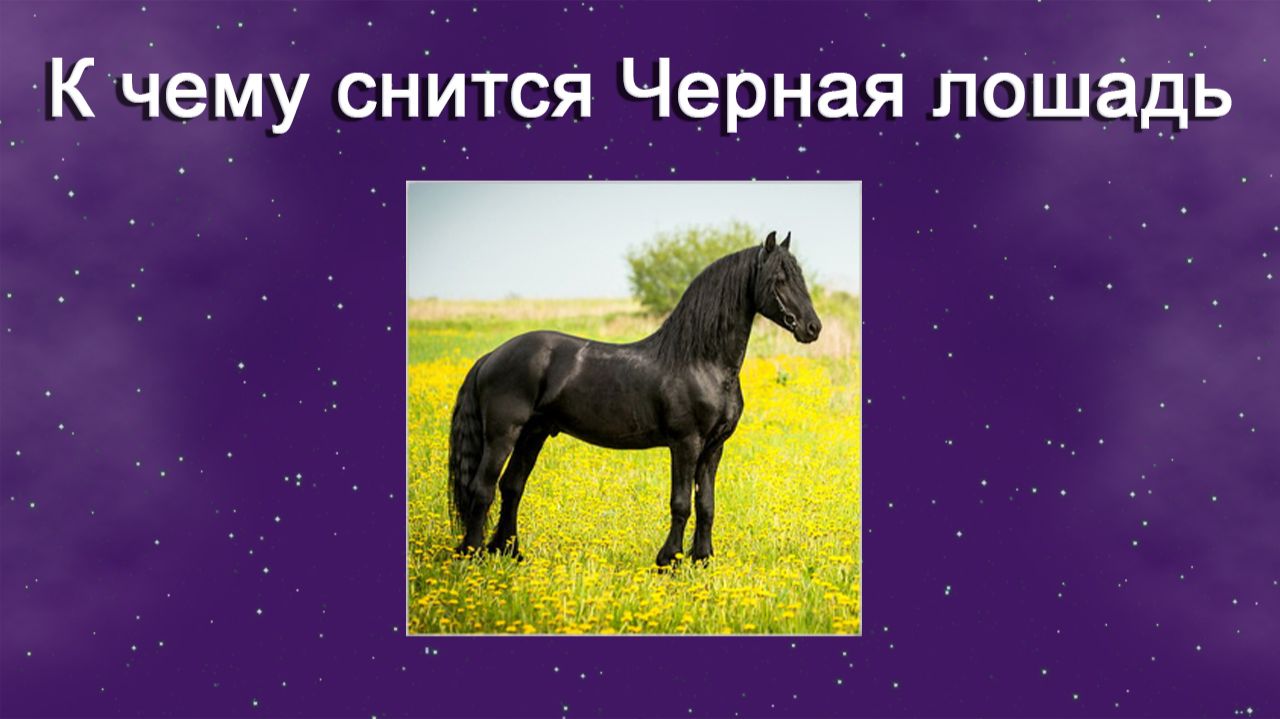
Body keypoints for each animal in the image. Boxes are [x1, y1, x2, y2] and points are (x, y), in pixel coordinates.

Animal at [446, 230, 822, 566]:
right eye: (778, 279)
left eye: (800, 276)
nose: (812, 328)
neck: (702, 362)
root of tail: (493, 355)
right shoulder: (686, 444)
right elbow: (681, 503)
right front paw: (669, 560)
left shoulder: (714, 448)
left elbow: (707, 504)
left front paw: (702, 559)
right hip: (503, 434)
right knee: (483, 488)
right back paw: (472, 554)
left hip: (533, 433)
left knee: (512, 486)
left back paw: (508, 551)